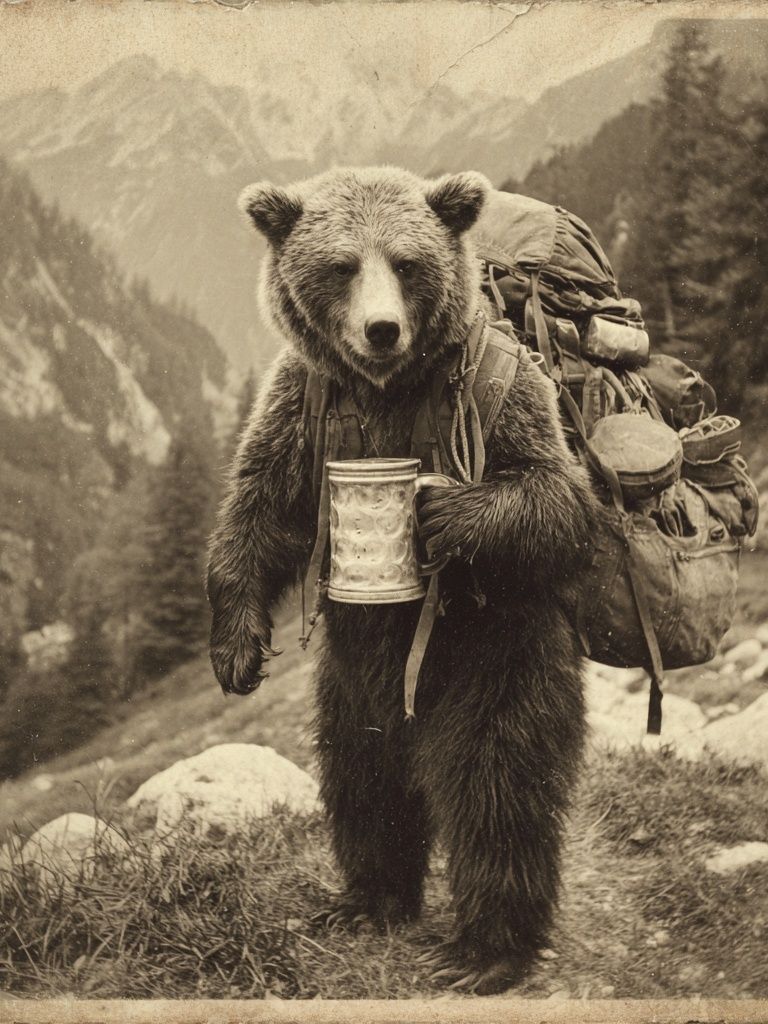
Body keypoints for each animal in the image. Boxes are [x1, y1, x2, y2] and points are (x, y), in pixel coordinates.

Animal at [206, 166, 599, 994]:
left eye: (407, 262)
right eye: (341, 265)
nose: (381, 330)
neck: (386, 390)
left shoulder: (510, 394)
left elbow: (557, 497)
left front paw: (444, 509)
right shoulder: (299, 404)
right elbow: (258, 510)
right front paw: (237, 650)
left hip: (493, 654)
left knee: (497, 781)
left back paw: (488, 948)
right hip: (352, 683)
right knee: (361, 774)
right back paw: (367, 899)